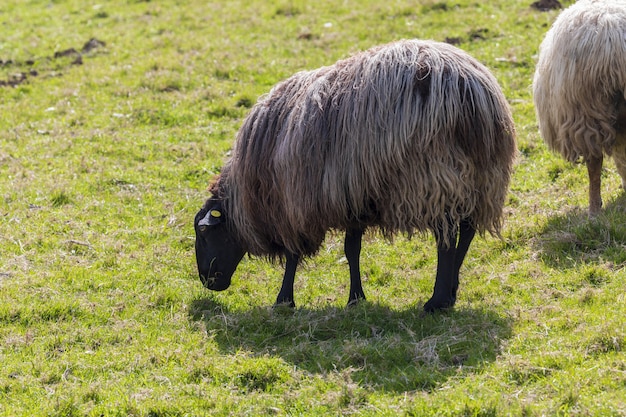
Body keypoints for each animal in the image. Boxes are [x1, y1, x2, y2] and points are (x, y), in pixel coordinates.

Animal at [193, 39, 516, 312]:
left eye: (204, 232)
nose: (207, 282)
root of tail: (470, 92)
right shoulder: (353, 197)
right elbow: (352, 250)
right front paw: (356, 298)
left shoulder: (294, 204)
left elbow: (294, 255)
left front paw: (284, 300)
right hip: (483, 178)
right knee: (468, 229)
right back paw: (451, 291)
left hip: (434, 176)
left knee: (446, 238)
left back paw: (436, 302)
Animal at [532, 0, 624, 214]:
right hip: (586, 111)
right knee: (595, 162)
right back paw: (595, 210)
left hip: (583, 112)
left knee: (594, 162)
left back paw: (594, 209)